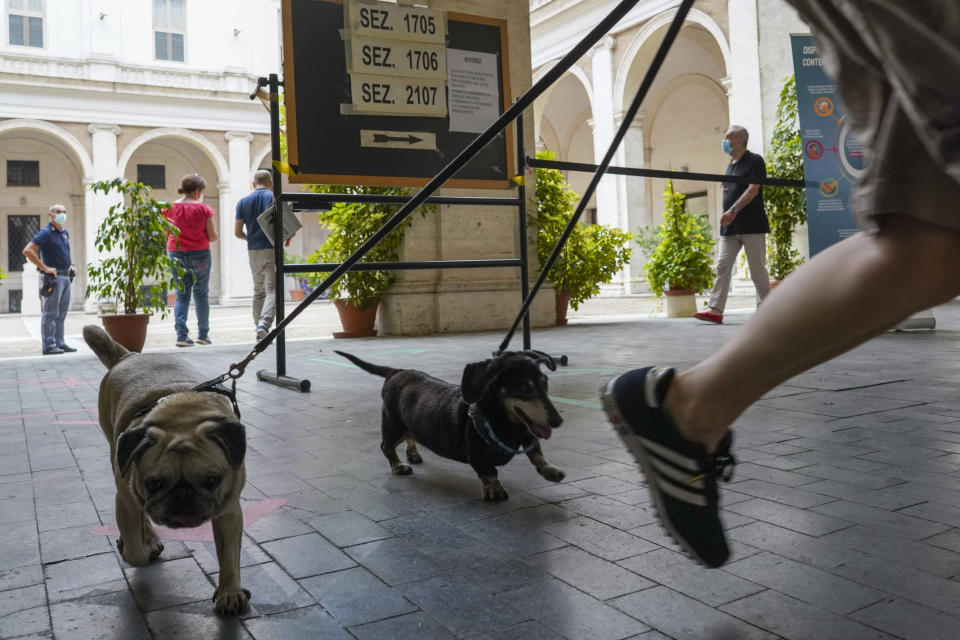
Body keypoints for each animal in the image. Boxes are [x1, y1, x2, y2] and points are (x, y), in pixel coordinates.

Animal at [83, 324, 249, 616]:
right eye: (154, 483)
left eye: (212, 480)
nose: (183, 494)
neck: (182, 420)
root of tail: (128, 356)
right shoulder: (126, 499)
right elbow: (135, 551)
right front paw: (135, 546)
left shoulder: (229, 511)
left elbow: (229, 555)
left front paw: (229, 592)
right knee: (140, 519)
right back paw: (148, 539)